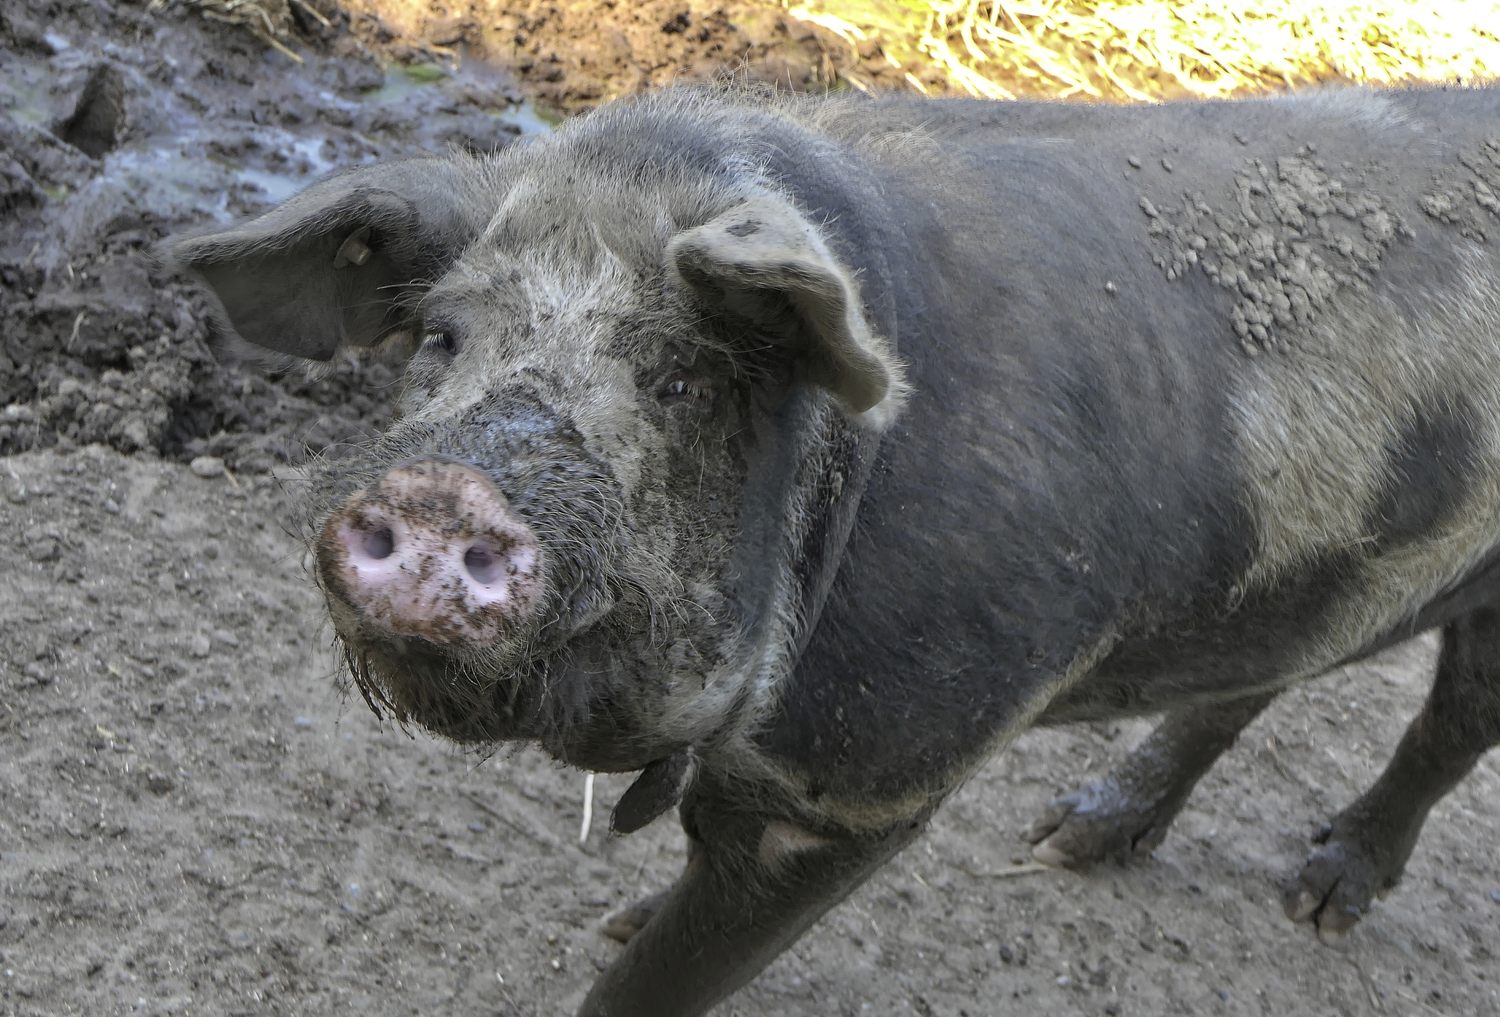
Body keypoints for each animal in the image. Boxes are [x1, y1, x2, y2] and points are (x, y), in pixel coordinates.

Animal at [168, 82, 1500, 1016]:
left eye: (684, 378)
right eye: (443, 338)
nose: (448, 493)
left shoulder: (867, 787)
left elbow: (661, 984)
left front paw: (622, 953)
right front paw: (618, 919)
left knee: (1448, 725)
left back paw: (1319, 903)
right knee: (1251, 684)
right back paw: (1068, 840)